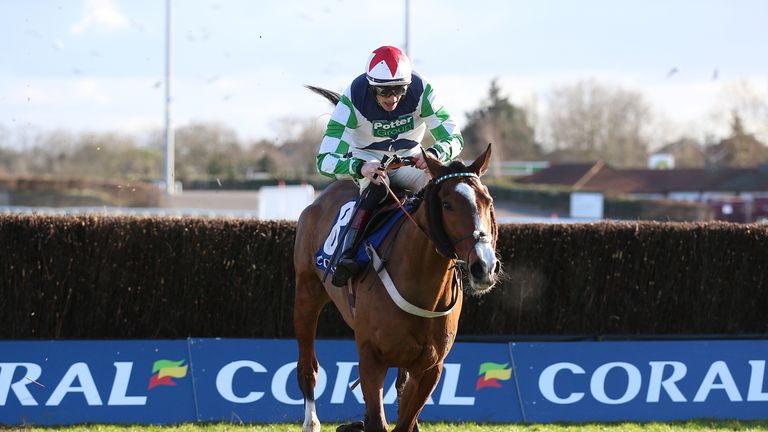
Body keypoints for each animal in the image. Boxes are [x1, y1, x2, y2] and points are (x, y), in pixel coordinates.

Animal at [292, 97, 498, 432]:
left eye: (488, 201)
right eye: (446, 204)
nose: (484, 266)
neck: (421, 287)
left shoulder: (430, 367)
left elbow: (405, 418)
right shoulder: (371, 357)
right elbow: (377, 418)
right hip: (307, 292)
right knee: (308, 365)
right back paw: (311, 421)